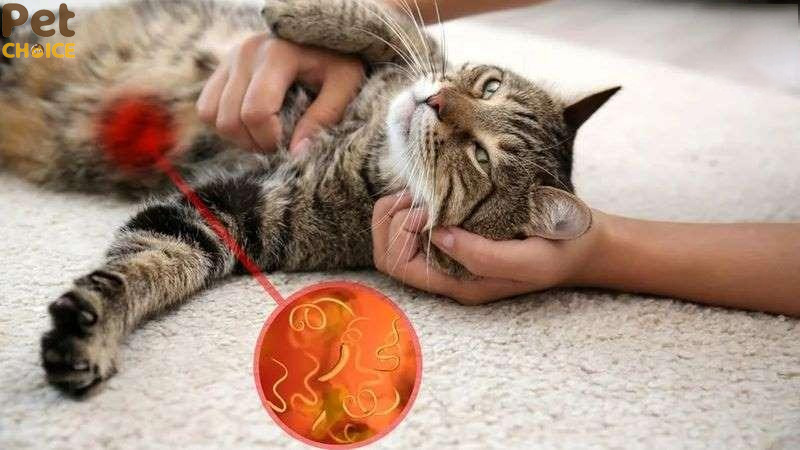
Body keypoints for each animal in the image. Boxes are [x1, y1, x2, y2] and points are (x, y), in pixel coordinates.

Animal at [0, 0, 619, 395]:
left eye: (481, 159)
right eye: (489, 86)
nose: (436, 103)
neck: (374, 148)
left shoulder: (239, 212)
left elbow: (151, 261)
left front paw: (88, 333)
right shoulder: (402, 60)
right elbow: (389, 25)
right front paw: (294, 11)